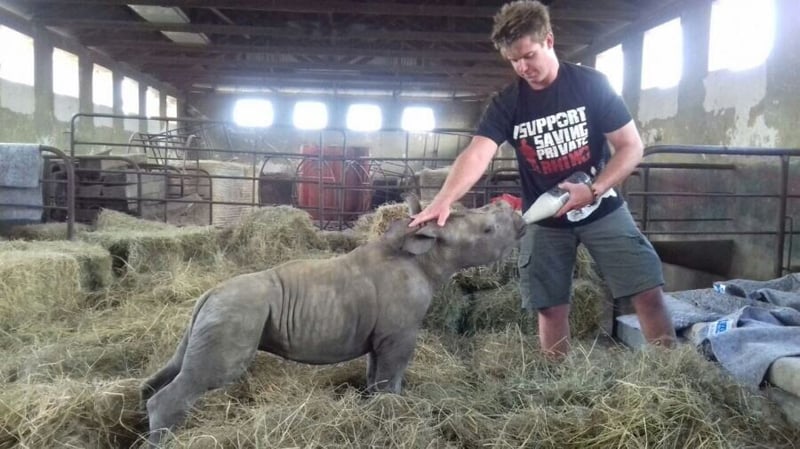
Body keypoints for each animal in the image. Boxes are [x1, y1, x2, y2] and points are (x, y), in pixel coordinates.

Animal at [141, 196, 525, 446]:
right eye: (489, 230)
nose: (518, 217)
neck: (428, 255)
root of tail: (208, 294)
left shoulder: (383, 336)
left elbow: (375, 374)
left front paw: (374, 407)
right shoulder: (399, 334)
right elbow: (392, 376)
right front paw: (392, 411)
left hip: (220, 312)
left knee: (176, 367)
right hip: (236, 312)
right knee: (206, 376)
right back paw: (163, 441)